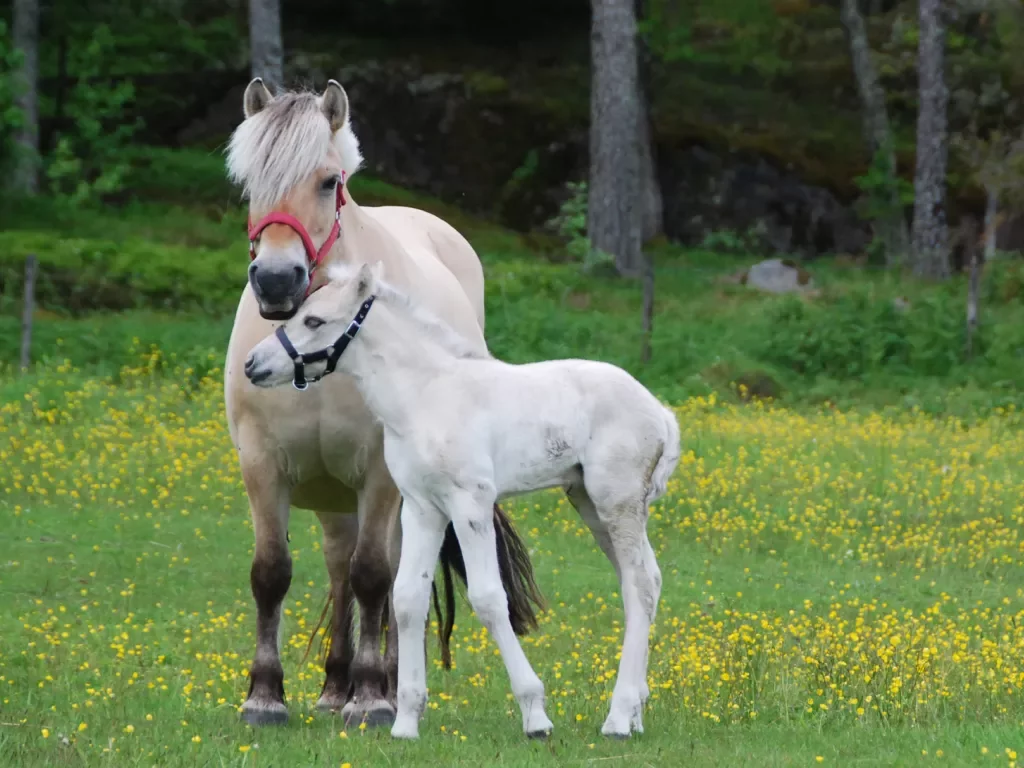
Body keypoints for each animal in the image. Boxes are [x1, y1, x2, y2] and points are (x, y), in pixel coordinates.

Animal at [224, 78, 544, 729]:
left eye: (328, 181)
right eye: (248, 183)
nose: (275, 281)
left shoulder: (378, 473)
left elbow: (375, 576)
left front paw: (372, 696)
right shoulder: (263, 465)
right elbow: (272, 573)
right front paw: (265, 696)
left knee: (392, 572)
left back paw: (389, 684)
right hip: (331, 493)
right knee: (336, 563)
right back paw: (333, 685)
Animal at [244, 264, 684, 741]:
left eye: (314, 321)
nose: (253, 364)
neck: (424, 397)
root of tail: (660, 412)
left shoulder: (470, 504)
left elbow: (489, 598)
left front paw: (535, 715)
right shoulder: (422, 508)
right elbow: (407, 598)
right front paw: (405, 721)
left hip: (617, 501)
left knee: (640, 584)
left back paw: (619, 717)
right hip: (588, 501)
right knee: (642, 580)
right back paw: (634, 710)